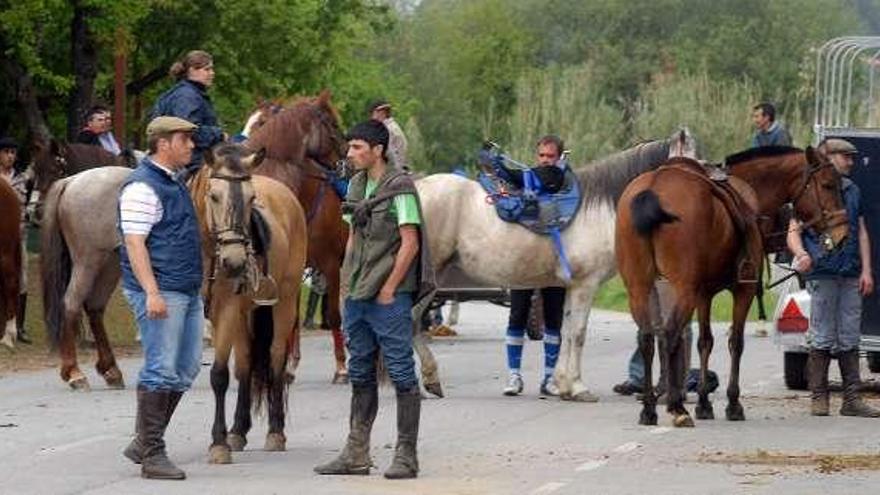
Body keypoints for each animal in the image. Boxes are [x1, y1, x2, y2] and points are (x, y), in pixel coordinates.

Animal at [191, 144, 308, 464]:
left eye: (251, 198)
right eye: (214, 195)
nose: (235, 262)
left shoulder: (227, 311)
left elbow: (219, 375)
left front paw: (218, 443)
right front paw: (227, 437)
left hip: (284, 303)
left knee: (276, 358)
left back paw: (276, 432)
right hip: (247, 315)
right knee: (244, 365)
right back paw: (238, 430)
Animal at [244, 90, 350, 384]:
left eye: (261, 123)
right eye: (333, 123)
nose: (346, 157)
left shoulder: (330, 265)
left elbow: (335, 315)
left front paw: (341, 367)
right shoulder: (296, 267)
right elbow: (291, 318)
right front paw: (288, 367)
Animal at [412, 130, 696, 402]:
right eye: (693, 162)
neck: (600, 208)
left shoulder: (571, 287)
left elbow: (566, 334)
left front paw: (563, 385)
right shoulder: (585, 285)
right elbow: (578, 333)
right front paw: (579, 388)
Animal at [616, 145, 848, 428]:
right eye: (828, 185)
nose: (842, 233)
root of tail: (654, 187)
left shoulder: (703, 294)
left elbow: (705, 342)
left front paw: (704, 402)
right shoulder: (743, 290)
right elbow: (736, 342)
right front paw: (733, 403)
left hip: (639, 287)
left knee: (647, 338)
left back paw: (649, 408)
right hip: (682, 288)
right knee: (670, 335)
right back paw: (676, 407)